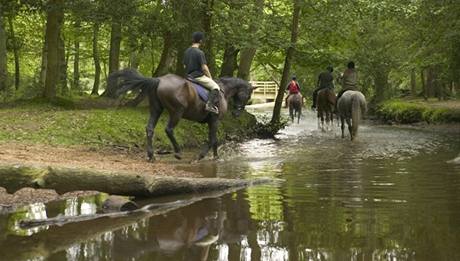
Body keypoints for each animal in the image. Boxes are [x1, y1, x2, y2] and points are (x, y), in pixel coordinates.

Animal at [110, 68, 255, 160]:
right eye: (248, 96)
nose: (236, 113)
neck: (223, 91)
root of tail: (159, 80)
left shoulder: (212, 121)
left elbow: (214, 140)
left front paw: (215, 157)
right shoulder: (215, 120)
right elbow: (213, 140)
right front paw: (202, 156)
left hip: (157, 109)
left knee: (150, 128)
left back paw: (151, 155)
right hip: (177, 111)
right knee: (169, 129)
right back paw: (178, 152)